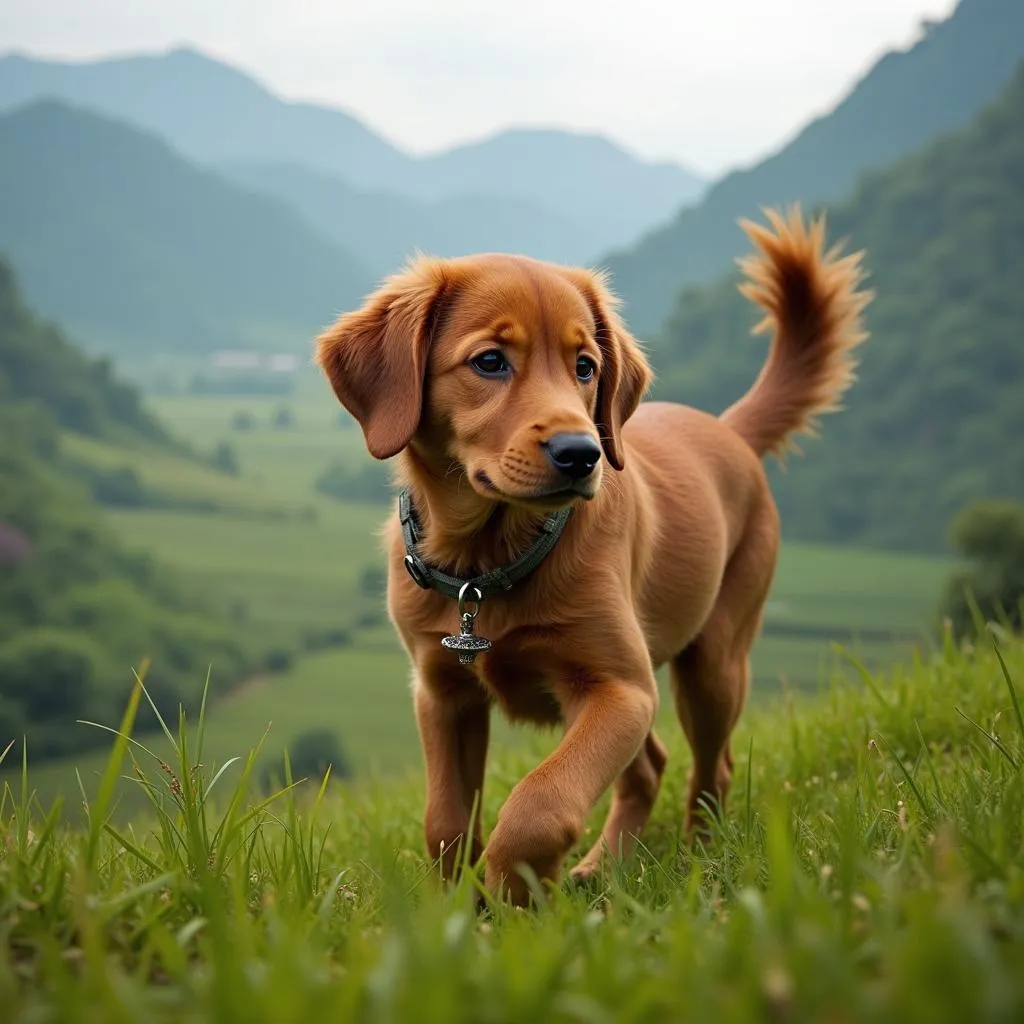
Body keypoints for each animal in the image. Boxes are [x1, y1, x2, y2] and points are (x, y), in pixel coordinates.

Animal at [313, 207, 872, 905]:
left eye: (585, 367)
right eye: (490, 361)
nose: (582, 454)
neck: (486, 563)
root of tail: (727, 429)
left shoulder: (619, 688)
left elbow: (540, 802)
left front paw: (516, 895)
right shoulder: (442, 692)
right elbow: (445, 820)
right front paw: (453, 910)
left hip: (714, 662)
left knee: (710, 765)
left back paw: (698, 861)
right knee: (650, 767)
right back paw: (605, 869)